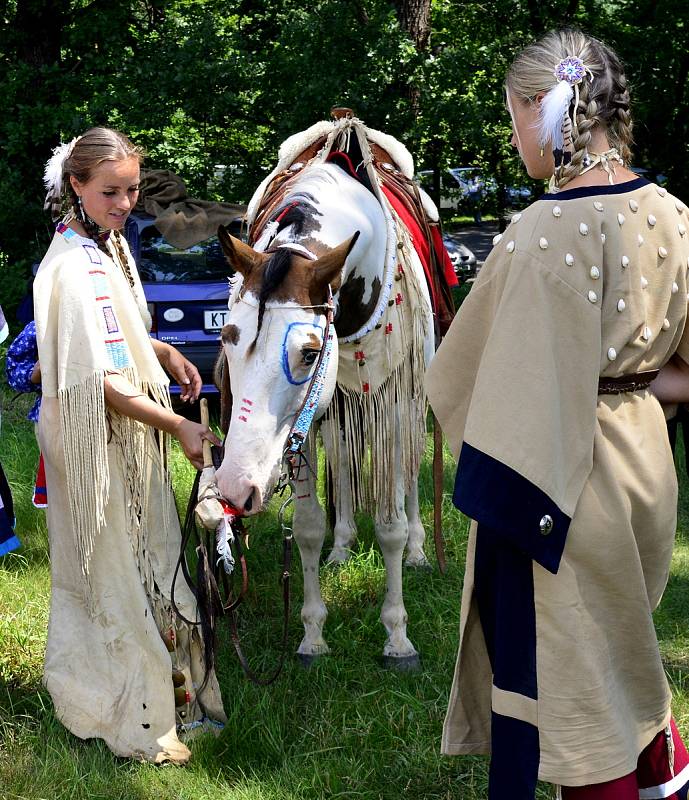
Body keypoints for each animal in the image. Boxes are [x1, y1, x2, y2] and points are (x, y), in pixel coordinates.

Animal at [212, 119, 436, 668]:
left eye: (309, 352)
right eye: (227, 336)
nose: (234, 488)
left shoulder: (390, 401)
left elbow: (390, 523)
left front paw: (397, 637)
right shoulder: (308, 421)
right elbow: (309, 524)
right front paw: (312, 633)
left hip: (409, 400)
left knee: (406, 474)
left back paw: (420, 550)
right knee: (344, 461)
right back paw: (341, 547)